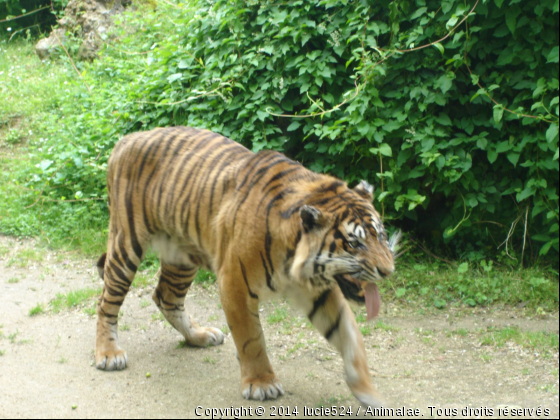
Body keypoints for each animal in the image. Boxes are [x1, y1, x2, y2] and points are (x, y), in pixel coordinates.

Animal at [96, 125, 400, 406]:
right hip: (126, 244)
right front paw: (262, 383)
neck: (295, 263)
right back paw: (108, 354)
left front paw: (370, 394)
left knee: (166, 297)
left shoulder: (320, 291)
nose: (388, 271)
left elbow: (351, 339)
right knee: (106, 301)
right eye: (354, 244)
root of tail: (128, 137)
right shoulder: (234, 284)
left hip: (182, 255)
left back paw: (199, 336)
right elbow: (251, 339)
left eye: (381, 236)